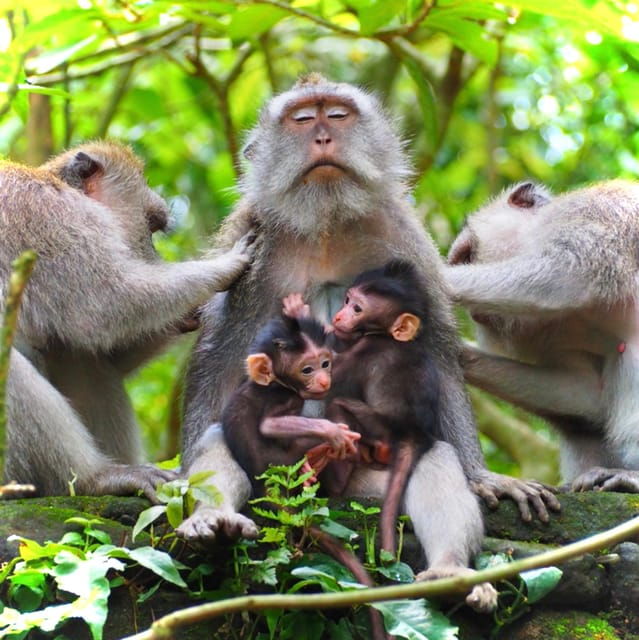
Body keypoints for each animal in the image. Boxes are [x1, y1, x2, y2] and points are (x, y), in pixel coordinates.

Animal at [0, 141, 254, 500]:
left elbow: (105, 350)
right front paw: (223, 266)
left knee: (79, 356)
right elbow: (107, 303)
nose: (156, 258)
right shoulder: (45, 216)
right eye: (151, 226)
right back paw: (94, 478)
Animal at [221, 313, 360, 492]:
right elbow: (269, 425)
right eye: (307, 370)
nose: (324, 381)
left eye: (325, 364)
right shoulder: (286, 398)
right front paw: (333, 431)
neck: (278, 384)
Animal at [445, 179, 639, 492]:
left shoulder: (593, 212)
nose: (475, 314)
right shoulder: (551, 340)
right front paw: (461, 354)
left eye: (466, 258)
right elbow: (583, 391)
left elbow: (569, 272)